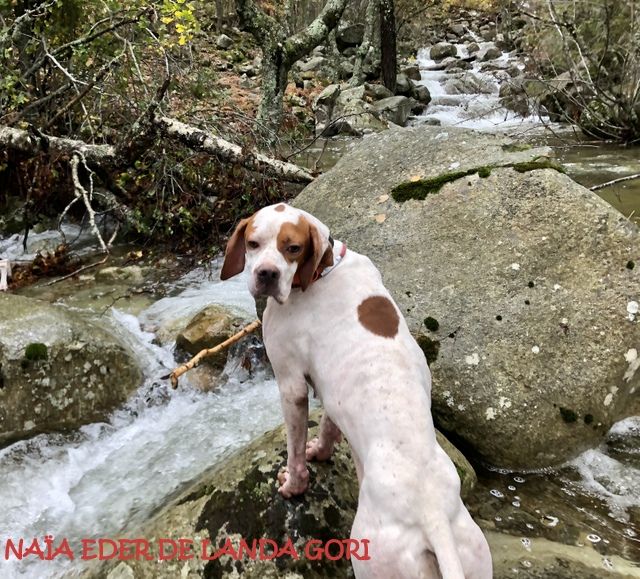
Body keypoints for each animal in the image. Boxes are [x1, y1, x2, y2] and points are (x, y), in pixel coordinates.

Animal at [219, 204, 490, 579]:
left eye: (293, 248)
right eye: (253, 243)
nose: (267, 274)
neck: (324, 270)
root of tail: (433, 517)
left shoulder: (290, 384)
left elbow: (295, 451)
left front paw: (293, 485)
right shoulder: (331, 391)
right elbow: (329, 427)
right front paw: (320, 451)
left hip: (371, 556)